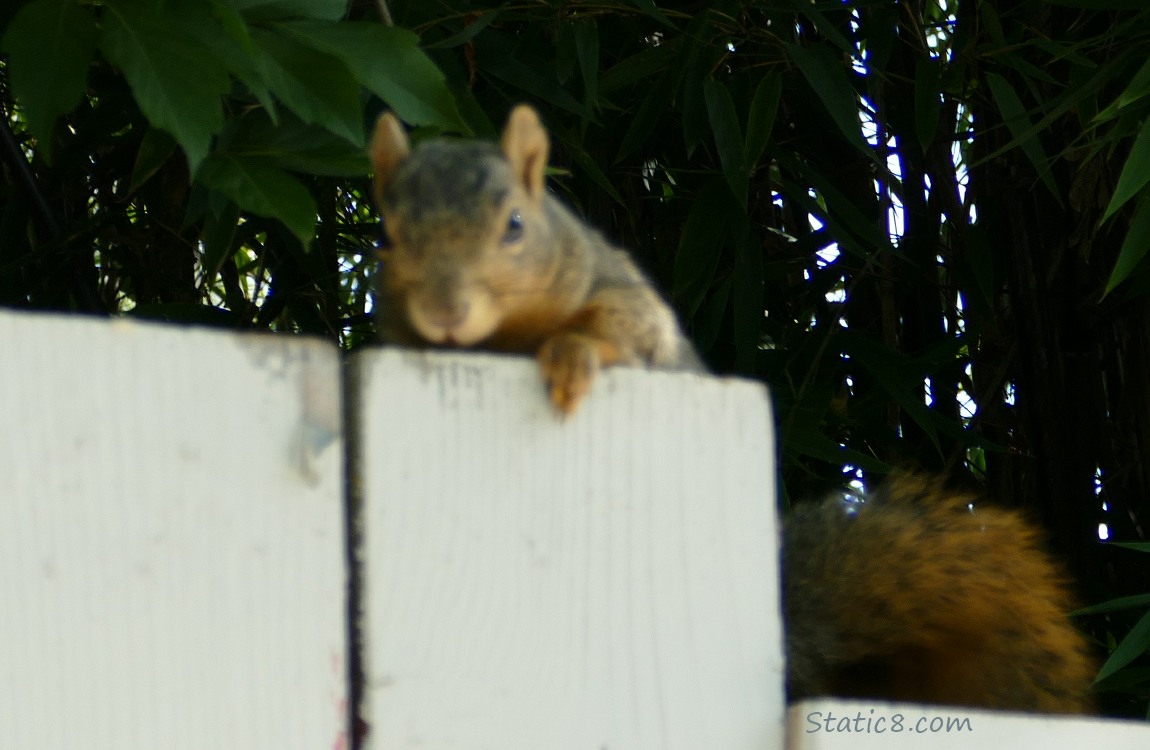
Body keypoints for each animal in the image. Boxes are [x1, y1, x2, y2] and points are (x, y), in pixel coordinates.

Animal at [368, 104, 699, 416]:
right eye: (383, 237)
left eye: (515, 224)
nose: (443, 313)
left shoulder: (616, 284)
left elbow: (640, 326)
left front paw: (571, 354)